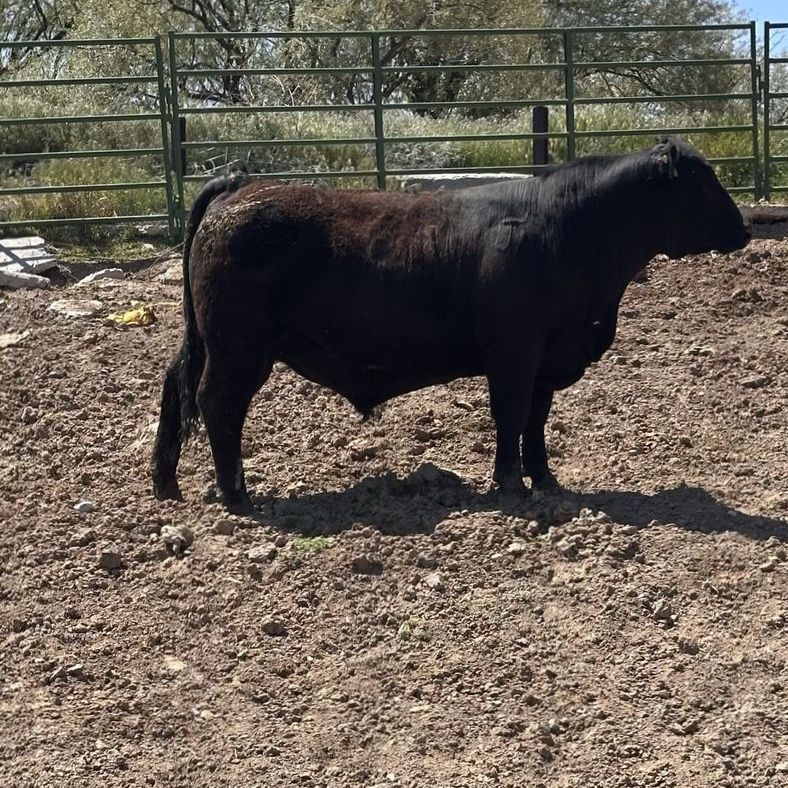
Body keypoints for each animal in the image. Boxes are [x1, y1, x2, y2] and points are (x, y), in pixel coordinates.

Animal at [151, 136, 751, 512]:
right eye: (702, 185)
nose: (745, 229)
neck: (571, 230)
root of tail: (241, 184)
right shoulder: (513, 352)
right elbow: (510, 415)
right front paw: (509, 483)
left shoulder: (547, 356)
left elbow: (536, 421)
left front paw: (545, 479)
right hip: (239, 348)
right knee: (216, 403)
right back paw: (237, 493)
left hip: (208, 340)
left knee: (175, 387)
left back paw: (166, 484)